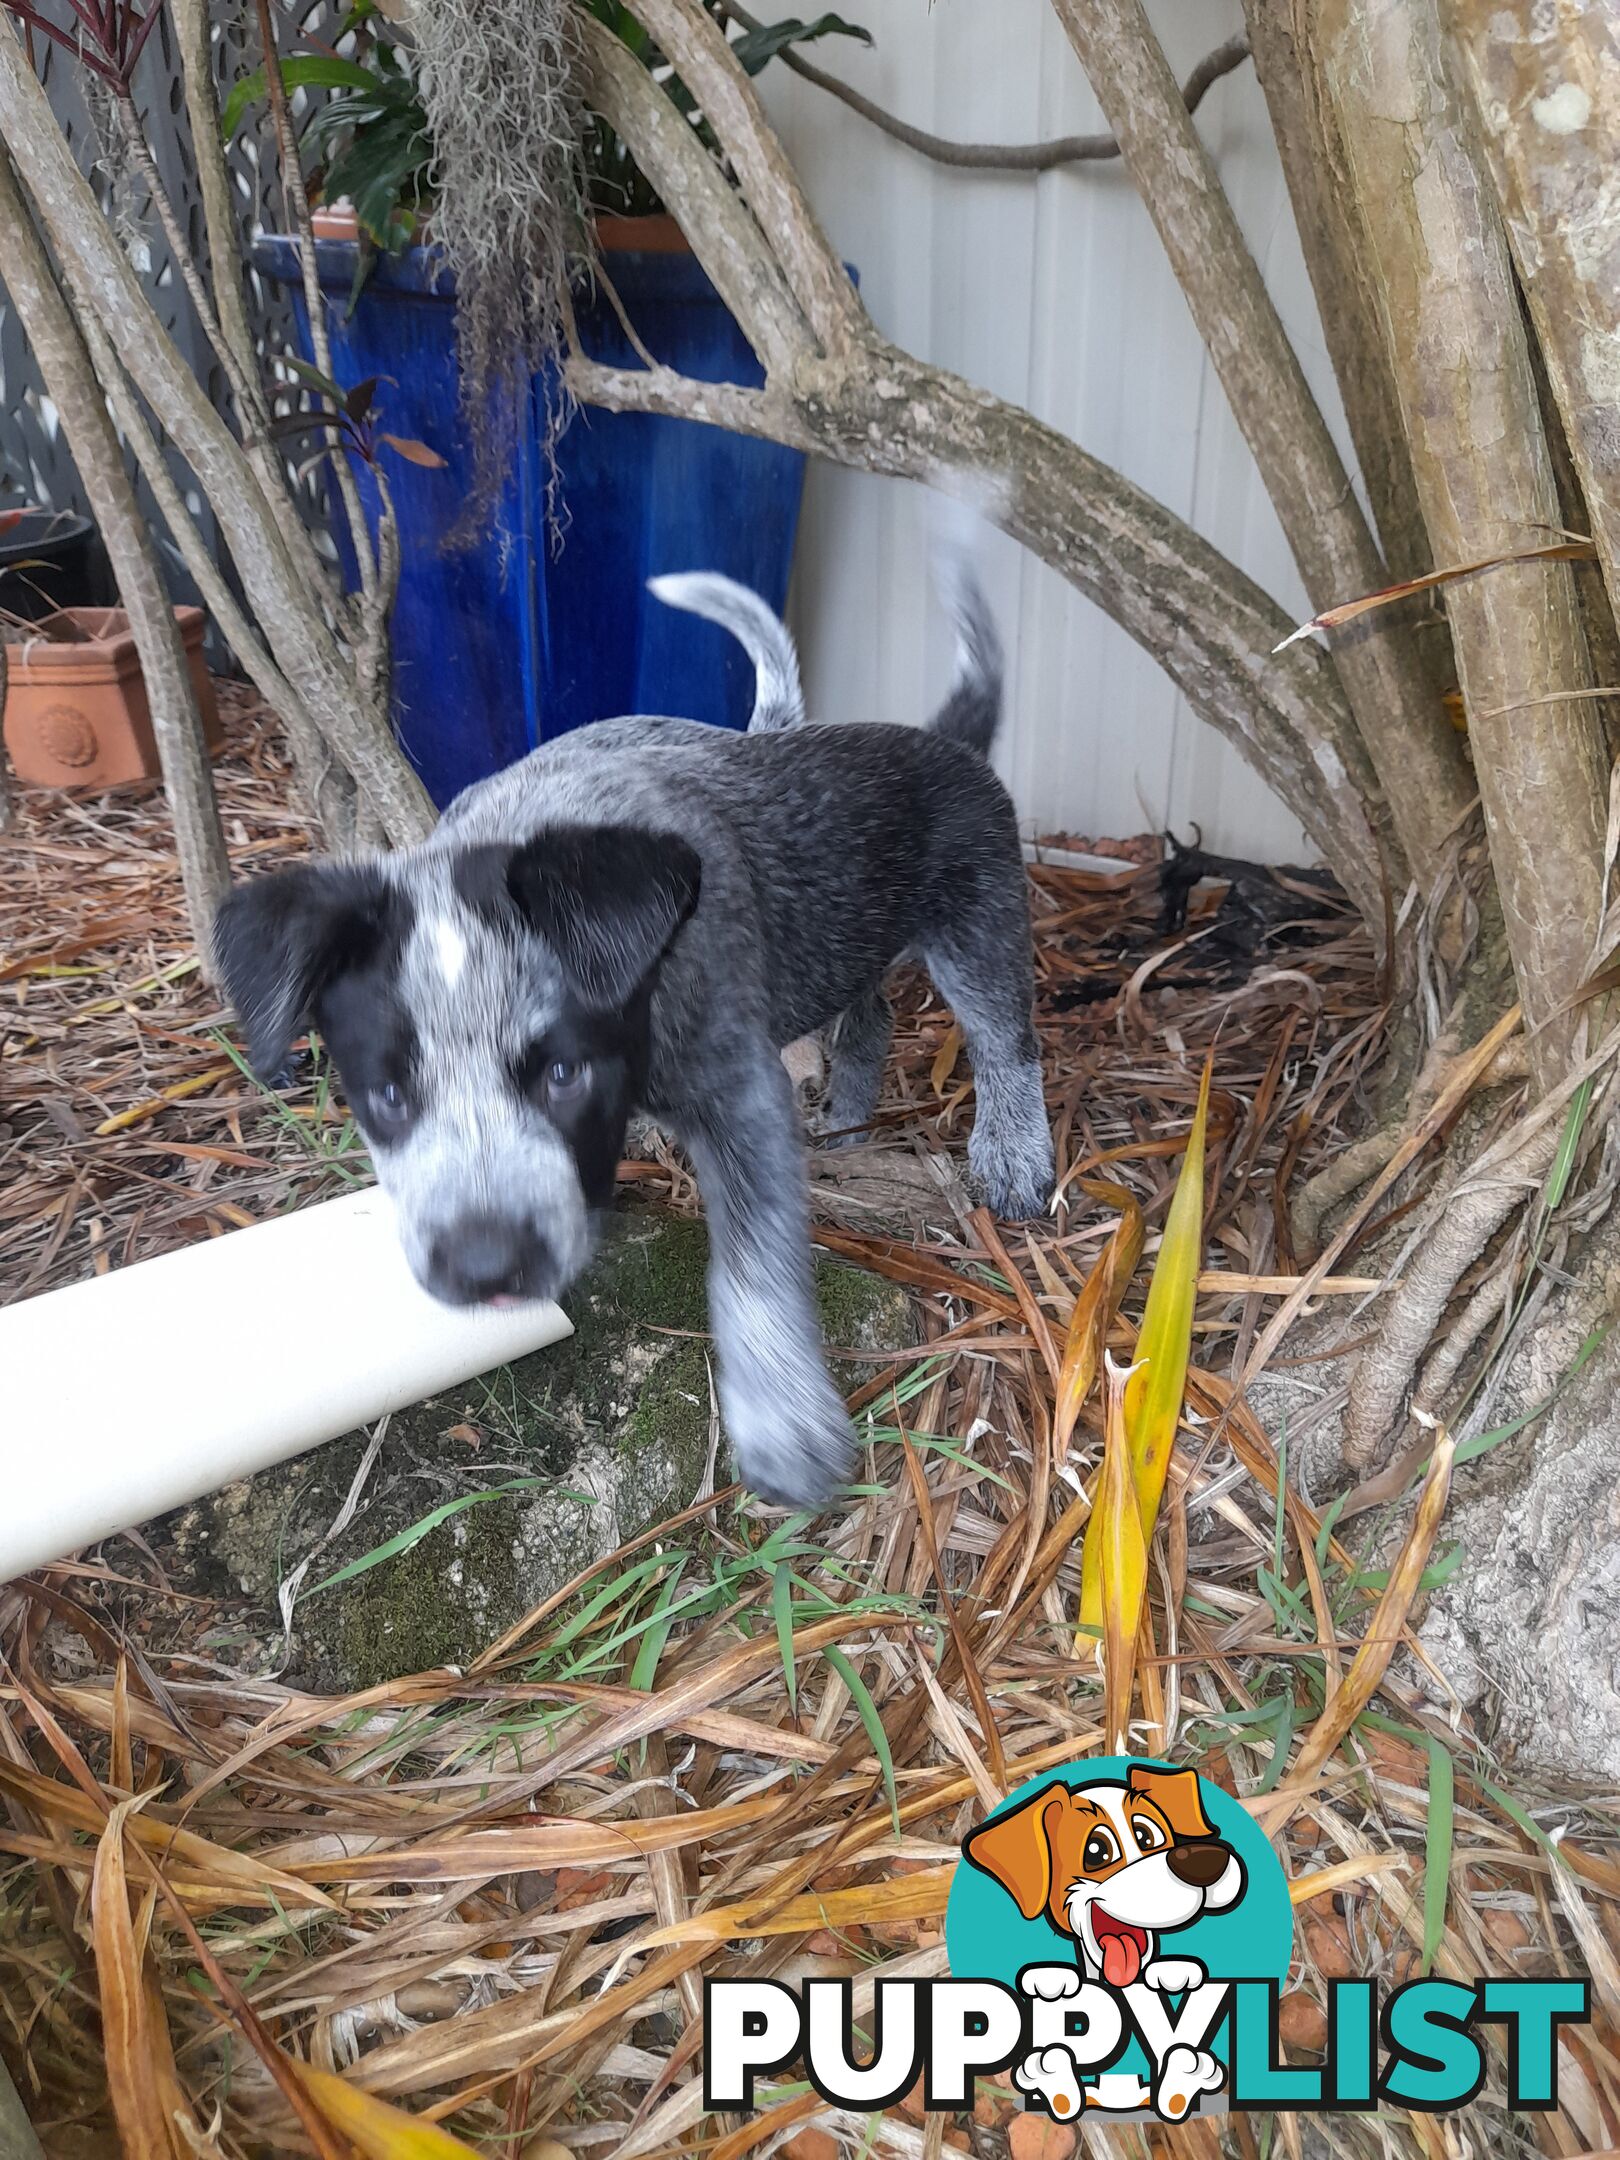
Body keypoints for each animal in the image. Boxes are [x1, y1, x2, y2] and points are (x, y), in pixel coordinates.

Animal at [212, 557, 1054, 1503]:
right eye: (387, 1094)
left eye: (563, 1074)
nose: (484, 1268)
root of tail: (947, 740)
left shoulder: (738, 1090)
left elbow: (756, 1257)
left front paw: (784, 1424)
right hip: (849, 946)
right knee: (869, 1018)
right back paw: (848, 1117)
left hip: (976, 926)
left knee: (1007, 1042)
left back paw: (1013, 1155)